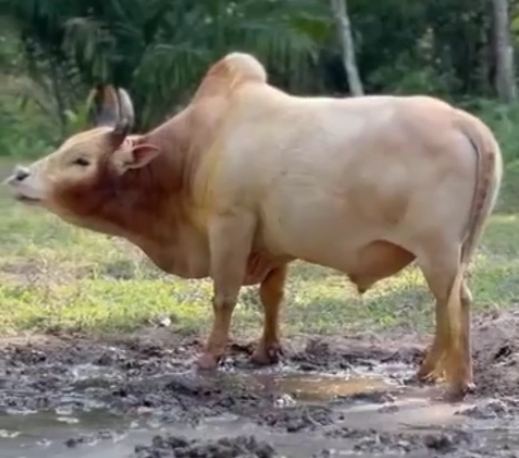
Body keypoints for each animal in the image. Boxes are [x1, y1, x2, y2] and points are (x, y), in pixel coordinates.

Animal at [5, 52, 503, 401]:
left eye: (81, 159)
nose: (19, 176)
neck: (193, 153)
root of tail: (467, 124)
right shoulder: (274, 244)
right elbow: (271, 297)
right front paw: (266, 353)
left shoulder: (230, 226)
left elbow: (224, 296)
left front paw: (210, 358)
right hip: (452, 251)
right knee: (446, 304)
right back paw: (425, 371)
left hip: (437, 249)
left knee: (456, 300)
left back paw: (457, 383)